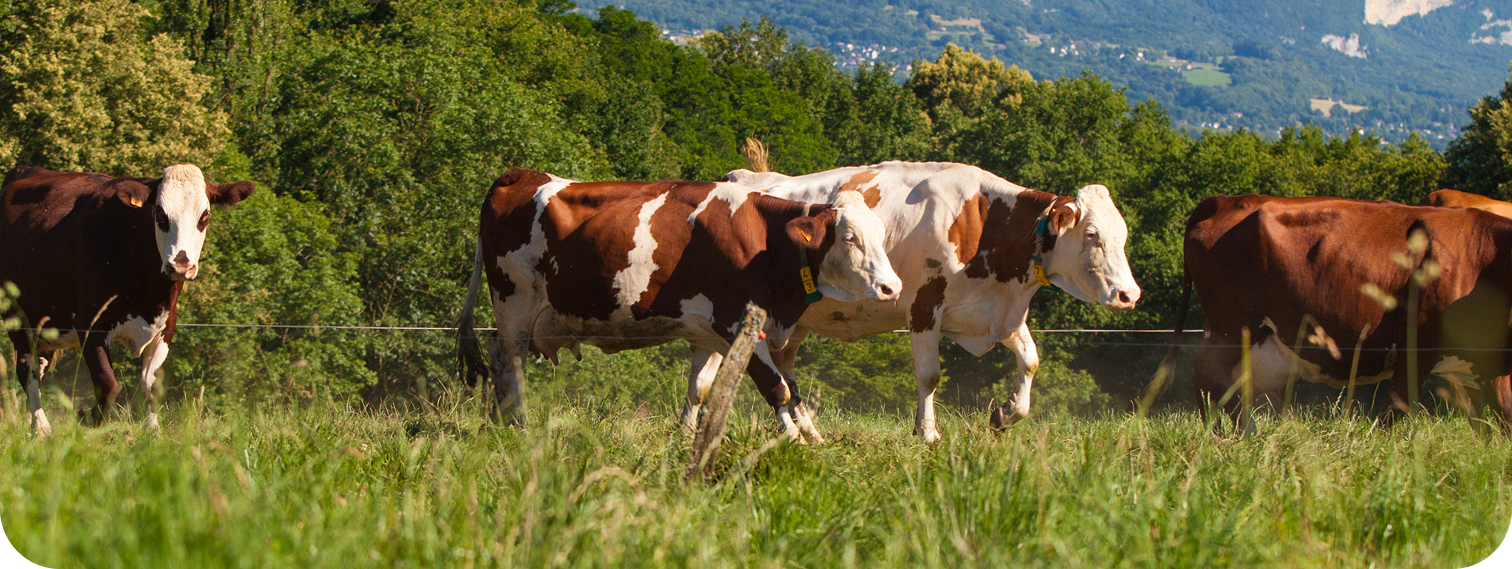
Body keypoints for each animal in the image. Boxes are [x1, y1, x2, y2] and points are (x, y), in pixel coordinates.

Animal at [1, 165, 255, 435]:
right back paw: (41, 428)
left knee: (39, 368)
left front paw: (153, 432)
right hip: (18, 319)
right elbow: (108, 385)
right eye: (160, 215)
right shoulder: (90, 325)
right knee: (28, 373)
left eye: (204, 217)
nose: (180, 265)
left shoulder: (166, 328)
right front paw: (86, 418)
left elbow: (151, 386)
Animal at [455, 169, 901, 440]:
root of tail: (520, 175)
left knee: (498, 355)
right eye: (849, 238)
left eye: (880, 235)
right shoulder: (738, 321)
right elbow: (777, 388)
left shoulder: (708, 333)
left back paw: (501, 423)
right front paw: (795, 443)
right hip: (514, 303)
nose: (891, 287)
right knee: (510, 360)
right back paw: (519, 424)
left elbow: (700, 390)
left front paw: (685, 437)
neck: (763, 239)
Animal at [719, 161, 1141, 442]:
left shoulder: (998, 314)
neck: (983, 223)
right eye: (1091, 234)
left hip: (795, 323)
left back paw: (811, 432)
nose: (1130, 295)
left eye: (1122, 234)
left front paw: (1004, 415)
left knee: (784, 366)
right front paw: (927, 433)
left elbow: (1030, 360)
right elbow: (929, 375)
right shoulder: (923, 306)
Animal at [1161, 194, 1512, 432]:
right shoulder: (1416, 346)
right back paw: (1240, 435)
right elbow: (1395, 408)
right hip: (1234, 326)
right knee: (1208, 373)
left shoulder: (1490, 363)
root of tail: (1225, 200)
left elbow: (1503, 415)